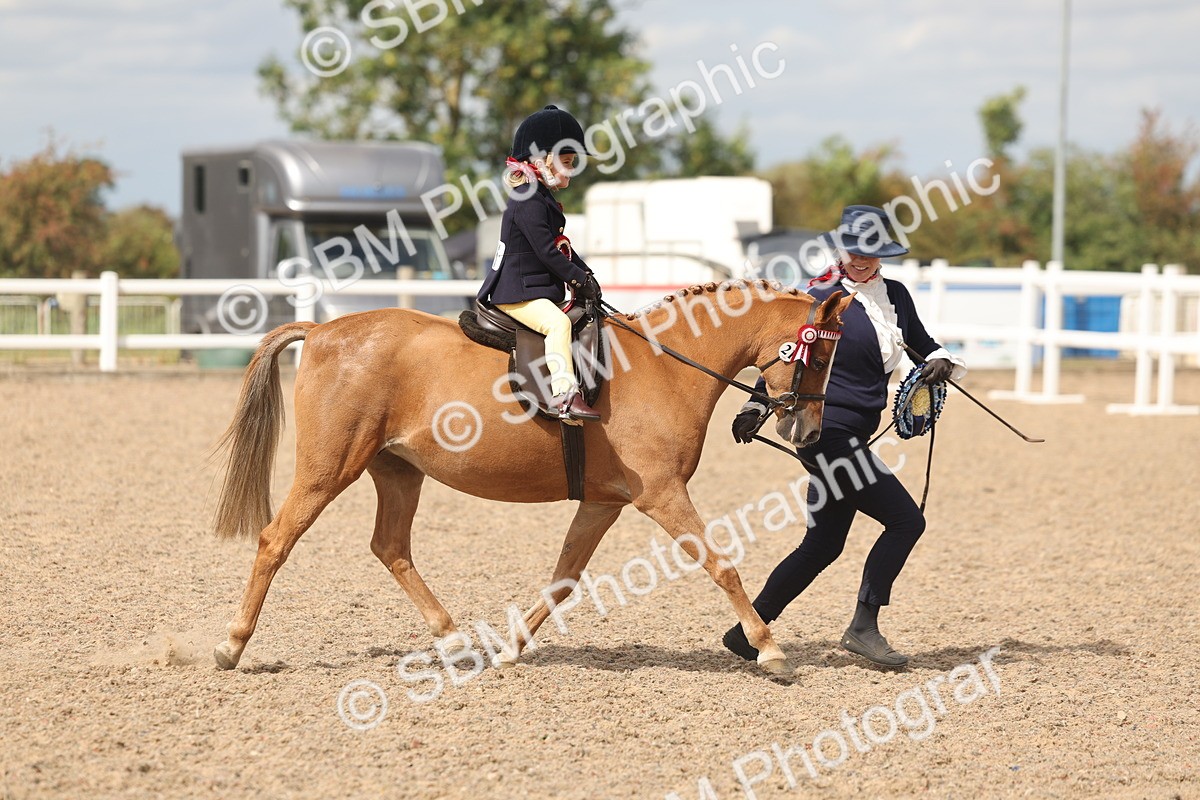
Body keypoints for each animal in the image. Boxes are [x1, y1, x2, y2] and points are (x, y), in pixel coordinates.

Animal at [210, 279, 853, 674]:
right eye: (820, 357)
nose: (808, 433)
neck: (664, 366)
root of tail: (321, 331)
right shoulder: (663, 495)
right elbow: (723, 566)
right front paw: (770, 651)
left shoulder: (604, 502)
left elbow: (563, 578)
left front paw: (512, 649)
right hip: (329, 468)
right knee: (276, 540)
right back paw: (231, 644)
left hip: (397, 471)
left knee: (390, 547)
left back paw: (454, 639)